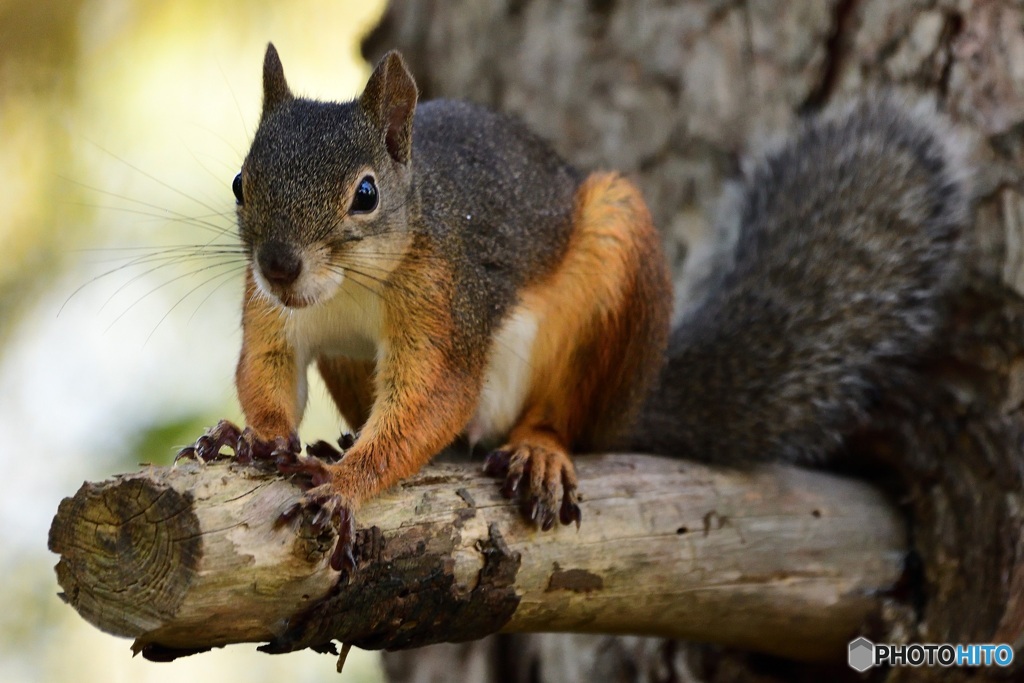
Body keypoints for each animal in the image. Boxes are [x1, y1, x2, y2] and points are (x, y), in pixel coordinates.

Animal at [176, 45, 966, 573]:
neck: (347, 287)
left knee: (567, 421)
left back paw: (540, 451)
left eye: (365, 194)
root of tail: (635, 401)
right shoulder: (274, 314)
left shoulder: (449, 305)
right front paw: (255, 439)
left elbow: (436, 396)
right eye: (243, 182)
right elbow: (267, 371)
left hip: (613, 263)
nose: (280, 264)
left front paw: (346, 484)